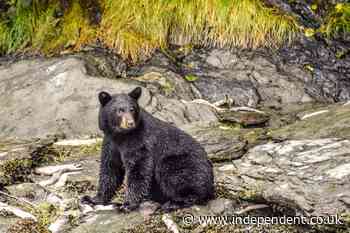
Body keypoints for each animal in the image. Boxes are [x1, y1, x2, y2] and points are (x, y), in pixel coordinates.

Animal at [82, 86, 215, 212]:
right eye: (119, 110)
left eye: (132, 109)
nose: (130, 123)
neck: (121, 136)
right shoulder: (110, 143)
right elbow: (110, 169)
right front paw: (92, 199)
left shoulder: (140, 141)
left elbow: (139, 168)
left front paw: (128, 204)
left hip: (184, 163)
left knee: (177, 176)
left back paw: (174, 203)